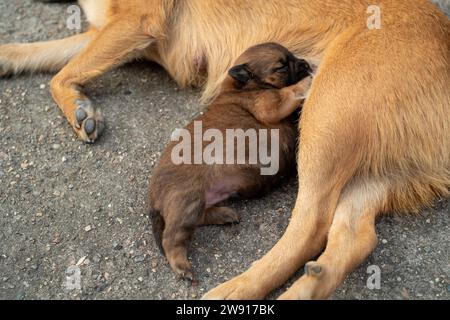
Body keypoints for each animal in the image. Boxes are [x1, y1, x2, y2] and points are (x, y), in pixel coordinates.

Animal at [149, 43, 312, 280]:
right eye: (281, 66)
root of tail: (152, 197)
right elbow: (289, 92)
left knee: (199, 218)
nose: (306, 64)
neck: (241, 88)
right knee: (171, 238)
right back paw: (181, 265)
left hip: (198, 202)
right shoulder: (269, 105)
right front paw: (307, 81)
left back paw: (224, 214)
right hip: (187, 201)